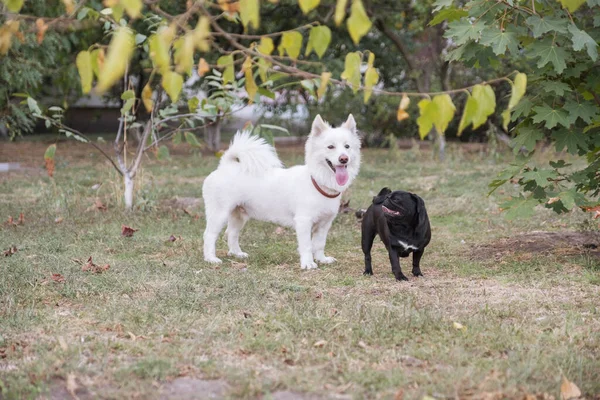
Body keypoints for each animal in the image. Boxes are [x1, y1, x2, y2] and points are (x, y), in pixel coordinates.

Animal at [202, 114, 360, 268]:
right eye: (330, 147)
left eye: (347, 146)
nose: (344, 158)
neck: (318, 182)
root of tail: (225, 166)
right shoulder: (304, 222)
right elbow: (307, 246)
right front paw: (308, 263)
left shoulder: (324, 224)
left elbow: (319, 244)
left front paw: (322, 259)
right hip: (219, 214)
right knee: (209, 235)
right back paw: (211, 259)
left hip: (239, 215)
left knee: (232, 234)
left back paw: (237, 254)